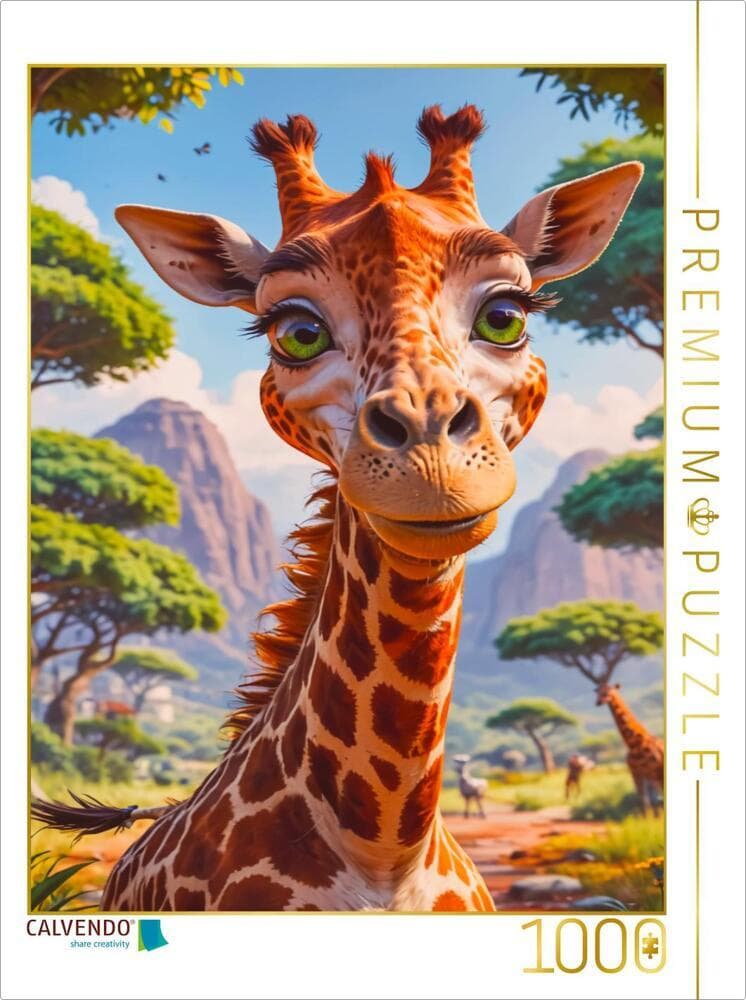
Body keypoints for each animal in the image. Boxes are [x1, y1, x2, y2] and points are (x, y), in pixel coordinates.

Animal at [596, 683, 663, 816]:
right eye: (598, 691)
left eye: (609, 691)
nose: (598, 702)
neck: (634, 743)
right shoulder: (637, 773)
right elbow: (645, 801)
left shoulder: (652, 772)